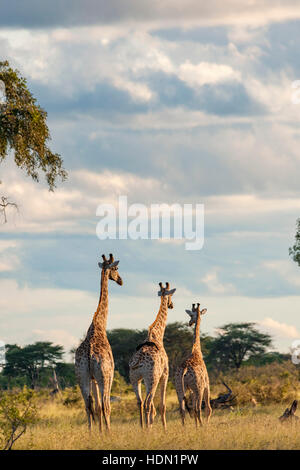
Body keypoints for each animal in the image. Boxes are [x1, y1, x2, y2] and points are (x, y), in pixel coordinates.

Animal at [74, 255, 122, 432]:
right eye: (116, 269)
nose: (120, 280)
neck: (99, 324)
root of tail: (88, 355)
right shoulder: (109, 374)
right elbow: (103, 406)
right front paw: (104, 432)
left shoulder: (92, 378)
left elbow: (96, 407)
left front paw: (99, 432)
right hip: (104, 376)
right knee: (106, 405)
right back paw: (109, 432)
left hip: (82, 376)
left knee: (88, 405)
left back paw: (90, 433)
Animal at [129, 282, 176, 430]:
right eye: (171, 295)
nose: (171, 305)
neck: (157, 335)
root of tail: (138, 360)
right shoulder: (165, 374)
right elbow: (162, 405)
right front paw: (165, 429)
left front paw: (150, 423)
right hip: (152, 379)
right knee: (147, 403)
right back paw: (148, 430)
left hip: (136, 378)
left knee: (139, 402)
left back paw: (142, 428)